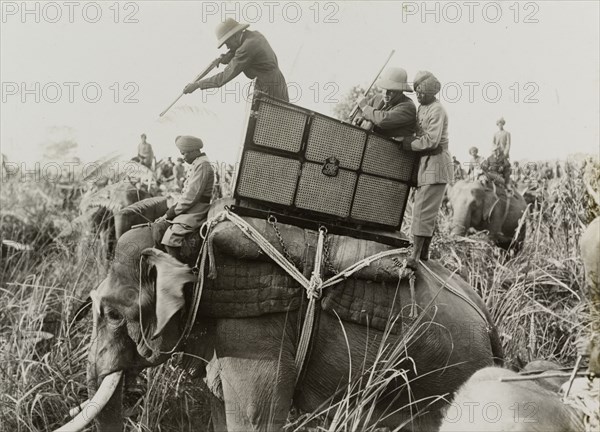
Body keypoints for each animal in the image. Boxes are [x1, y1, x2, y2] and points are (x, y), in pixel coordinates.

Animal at [67, 215, 506, 432]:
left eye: (112, 314)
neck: (194, 246)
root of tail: (488, 321)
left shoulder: (257, 334)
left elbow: (256, 419)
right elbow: (220, 409)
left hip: (449, 377)